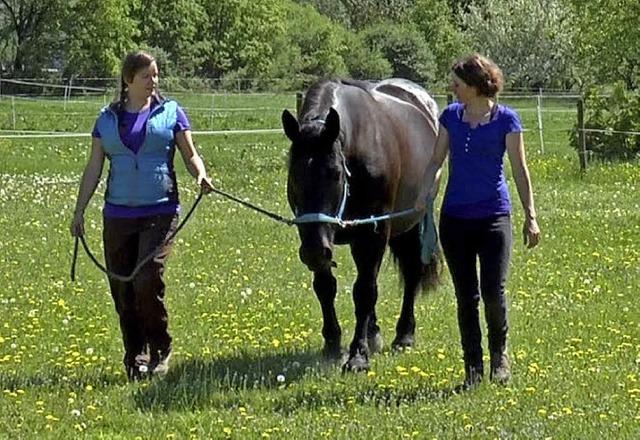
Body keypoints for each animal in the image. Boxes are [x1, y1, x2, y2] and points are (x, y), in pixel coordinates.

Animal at [282, 76, 442, 372]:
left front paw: (358, 355)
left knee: (411, 274)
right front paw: (333, 345)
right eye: (294, 175)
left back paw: (404, 335)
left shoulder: (372, 234)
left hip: (410, 225)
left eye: (335, 174)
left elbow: (364, 292)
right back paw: (373, 333)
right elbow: (326, 287)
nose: (312, 252)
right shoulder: (317, 238)